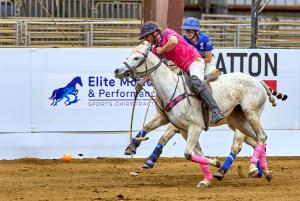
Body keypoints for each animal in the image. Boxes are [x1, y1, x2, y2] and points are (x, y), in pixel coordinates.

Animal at [115, 41, 274, 188]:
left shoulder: (195, 126)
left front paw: (215, 163)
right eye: (129, 55)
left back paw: (250, 168)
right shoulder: (182, 129)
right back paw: (265, 171)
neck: (173, 89)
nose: (117, 70)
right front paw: (207, 178)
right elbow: (196, 153)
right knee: (259, 139)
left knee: (257, 138)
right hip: (238, 121)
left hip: (251, 113)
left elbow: (188, 153)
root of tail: (258, 81)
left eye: (136, 58)